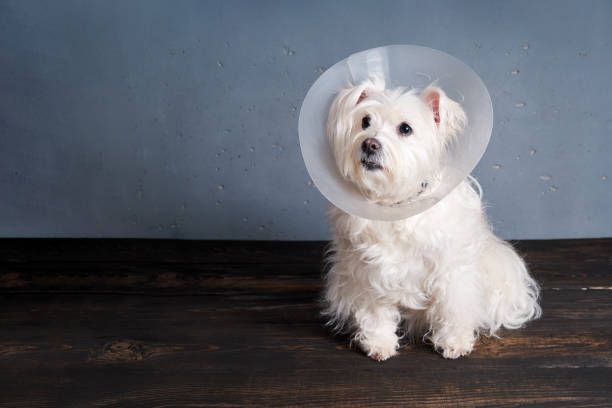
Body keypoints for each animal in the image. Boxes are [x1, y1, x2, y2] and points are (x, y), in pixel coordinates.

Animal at [326, 76, 540, 360]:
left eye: (405, 128)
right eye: (365, 121)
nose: (369, 144)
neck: (396, 204)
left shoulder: (452, 270)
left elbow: (454, 307)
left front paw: (454, 341)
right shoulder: (366, 272)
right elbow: (374, 312)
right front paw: (379, 342)